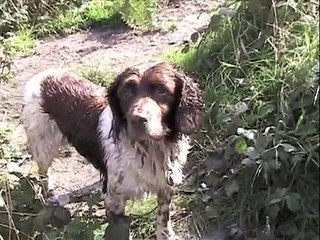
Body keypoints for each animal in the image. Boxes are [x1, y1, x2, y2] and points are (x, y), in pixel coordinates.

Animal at [21, 62, 205, 239]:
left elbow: (163, 220)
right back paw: (52, 196)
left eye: (162, 91)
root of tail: (41, 76)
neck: (151, 149)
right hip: (43, 147)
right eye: (126, 93)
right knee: (43, 173)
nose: (137, 120)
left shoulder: (166, 186)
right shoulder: (115, 201)